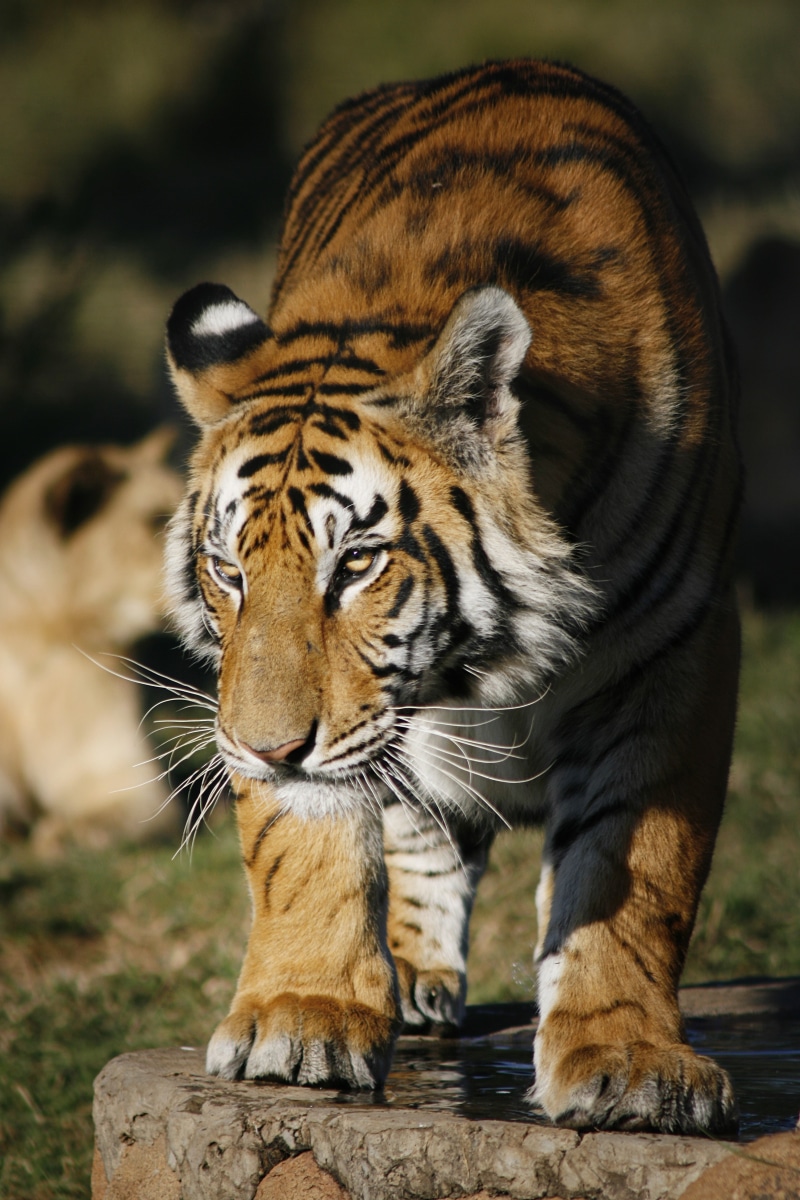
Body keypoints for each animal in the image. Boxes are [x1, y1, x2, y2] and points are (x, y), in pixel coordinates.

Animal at [165, 59, 741, 1135]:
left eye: (355, 563)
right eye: (229, 572)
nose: (263, 749)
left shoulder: (676, 645)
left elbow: (636, 867)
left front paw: (630, 1064)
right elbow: (308, 842)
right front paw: (299, 1021)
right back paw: (410, 974)